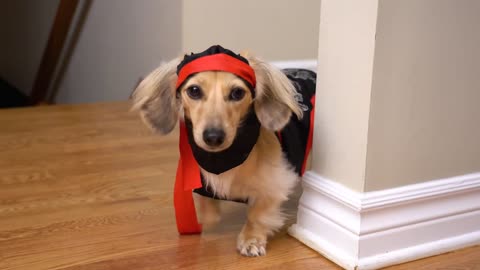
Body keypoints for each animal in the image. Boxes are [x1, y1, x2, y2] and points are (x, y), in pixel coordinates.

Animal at [131, 45, 316, 256]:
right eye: (194, 90)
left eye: (237, 93)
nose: (213, 137)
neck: (228, 158)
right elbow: (208, 208)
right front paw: (208, 214)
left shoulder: (277, 182)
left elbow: (258, 213)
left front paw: (251, 239)